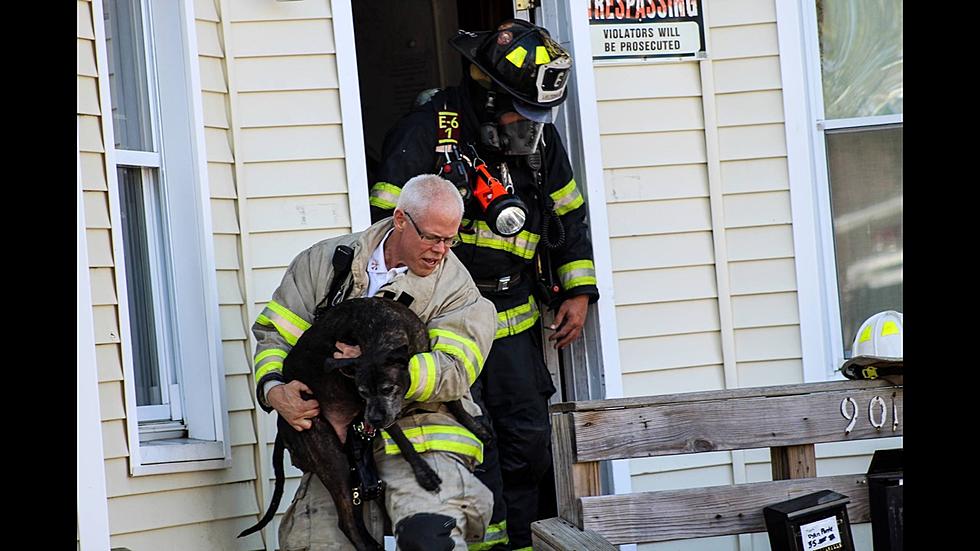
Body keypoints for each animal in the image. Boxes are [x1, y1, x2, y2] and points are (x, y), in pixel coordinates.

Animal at [238, 300, 490, 548]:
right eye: (362, 392)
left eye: (387, 389)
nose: (373, 420)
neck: (380, 329)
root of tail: (282, 426)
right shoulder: (378, 410)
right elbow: (402, 439)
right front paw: (423, 472)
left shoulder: (431, 367)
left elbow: (453, 398)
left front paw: (476, 427)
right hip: (331, 456)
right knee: (347, 521)